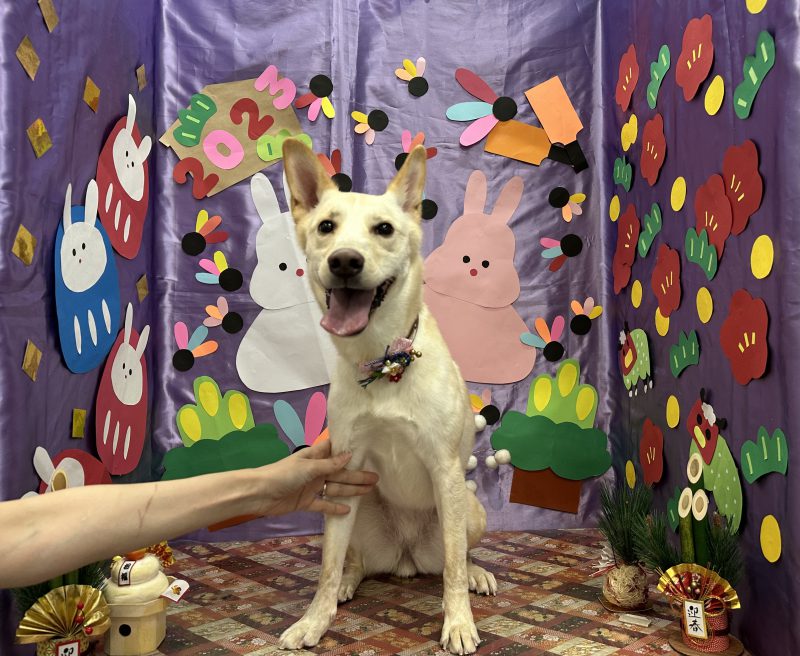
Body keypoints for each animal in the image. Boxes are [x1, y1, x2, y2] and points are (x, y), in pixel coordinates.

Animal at [278, 140, 496, 654]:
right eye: (326, 227)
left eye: (384, 229)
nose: (344, 261)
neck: (382, 361)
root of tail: (407, 557)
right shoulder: (345, 469)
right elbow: (325, 566)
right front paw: (314, 619)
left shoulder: (445, 470)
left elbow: (453, 570)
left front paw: (458, 622)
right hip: (349, 508)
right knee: (352, 560)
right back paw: (346, 584)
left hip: (468, 508)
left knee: (458, 557)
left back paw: (476, 574)